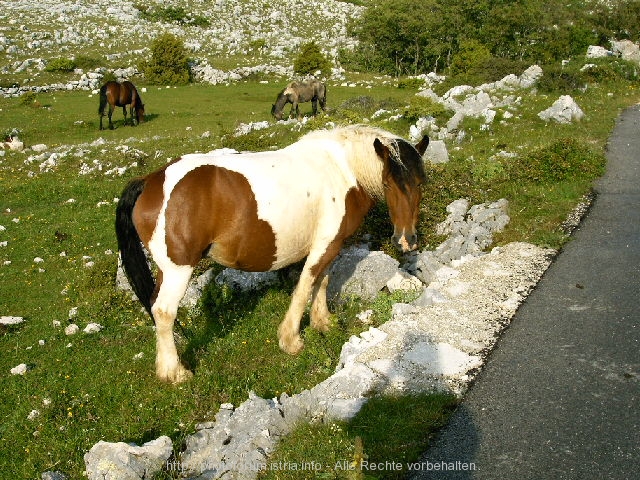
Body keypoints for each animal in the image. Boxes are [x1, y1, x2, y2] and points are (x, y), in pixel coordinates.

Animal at [115, 125, 428, 384]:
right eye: (388, 183)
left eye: (420, 183)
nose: (407, 240)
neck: (342, 171)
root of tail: (151, 180)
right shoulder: (324, 245)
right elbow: (304, 287)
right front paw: (291, 340)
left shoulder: (332, 244)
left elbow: (322, 282)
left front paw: (322, 322)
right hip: (179, 269)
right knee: (164, 311)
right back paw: (175, 372)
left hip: (165, 269)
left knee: (155, 305)